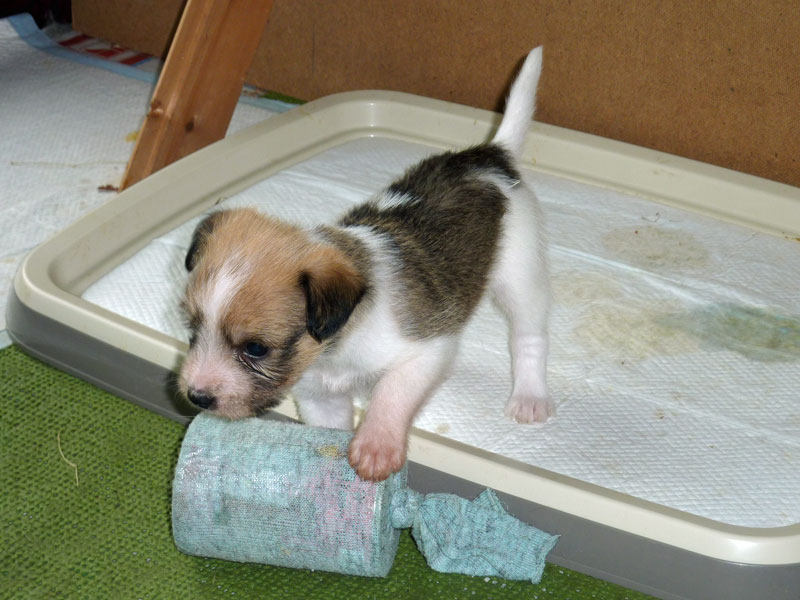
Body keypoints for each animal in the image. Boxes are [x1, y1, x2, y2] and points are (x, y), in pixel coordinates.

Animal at [178, 46, 551, 481]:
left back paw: (530, 395)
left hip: (520, 275)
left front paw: (377, 444)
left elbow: (391, 394)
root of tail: (490, 157)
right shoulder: (320, 397)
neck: (335, 351)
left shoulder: (425, 351)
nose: (197, 396)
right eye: (192, 328)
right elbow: (328, 428)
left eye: (256, 348)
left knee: (529, 337)